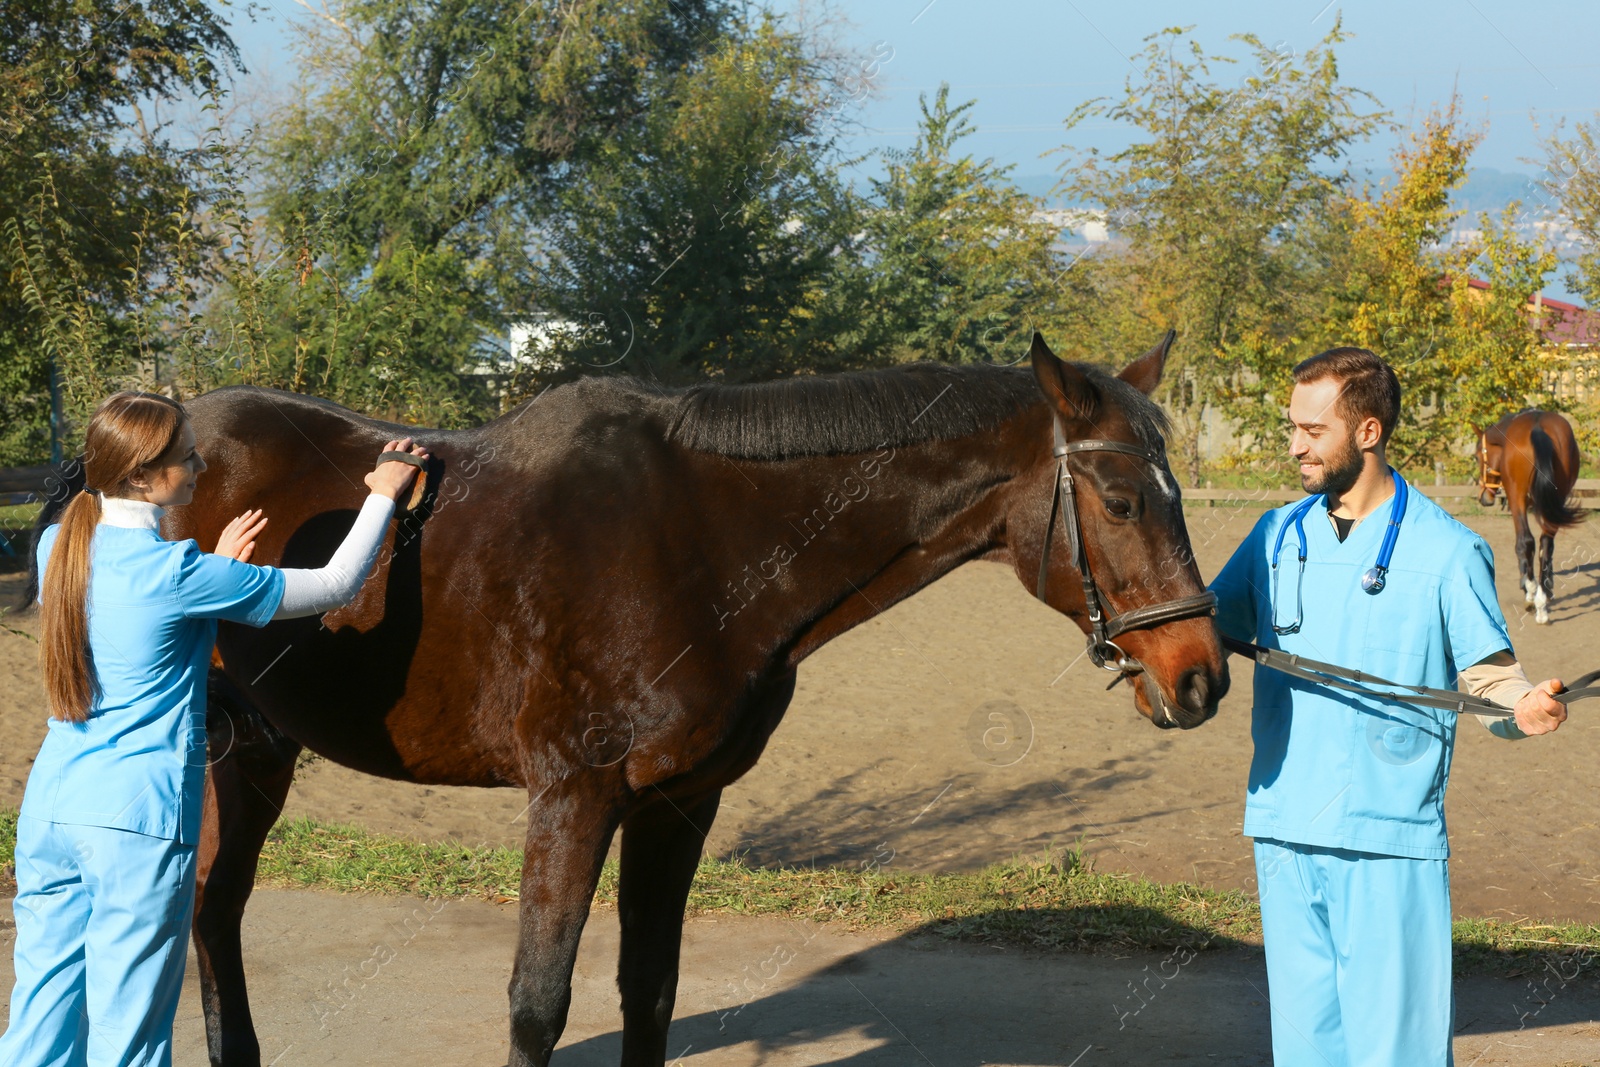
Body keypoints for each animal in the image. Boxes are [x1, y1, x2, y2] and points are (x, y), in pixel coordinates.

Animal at [21, 331, 1222, 1062]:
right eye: (1121, 499)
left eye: (1177, 491)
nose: (1200, 676)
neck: (699, 540)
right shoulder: (574, 798)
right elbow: (538, 1001)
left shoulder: (679, 802)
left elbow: (648, 987)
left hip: (257, 748)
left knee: (215, 910)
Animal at [1478, 409, 1580, 627]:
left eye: (1477, 457)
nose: (1484, 497)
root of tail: (1538, 427)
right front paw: (1547, 587)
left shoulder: (1518, 502)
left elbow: (1523, 545)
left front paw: (1528, 587)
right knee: (1546, 544)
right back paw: (1542, 603)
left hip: (1518, 498)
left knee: (1527, 541)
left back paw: (1534, 597)